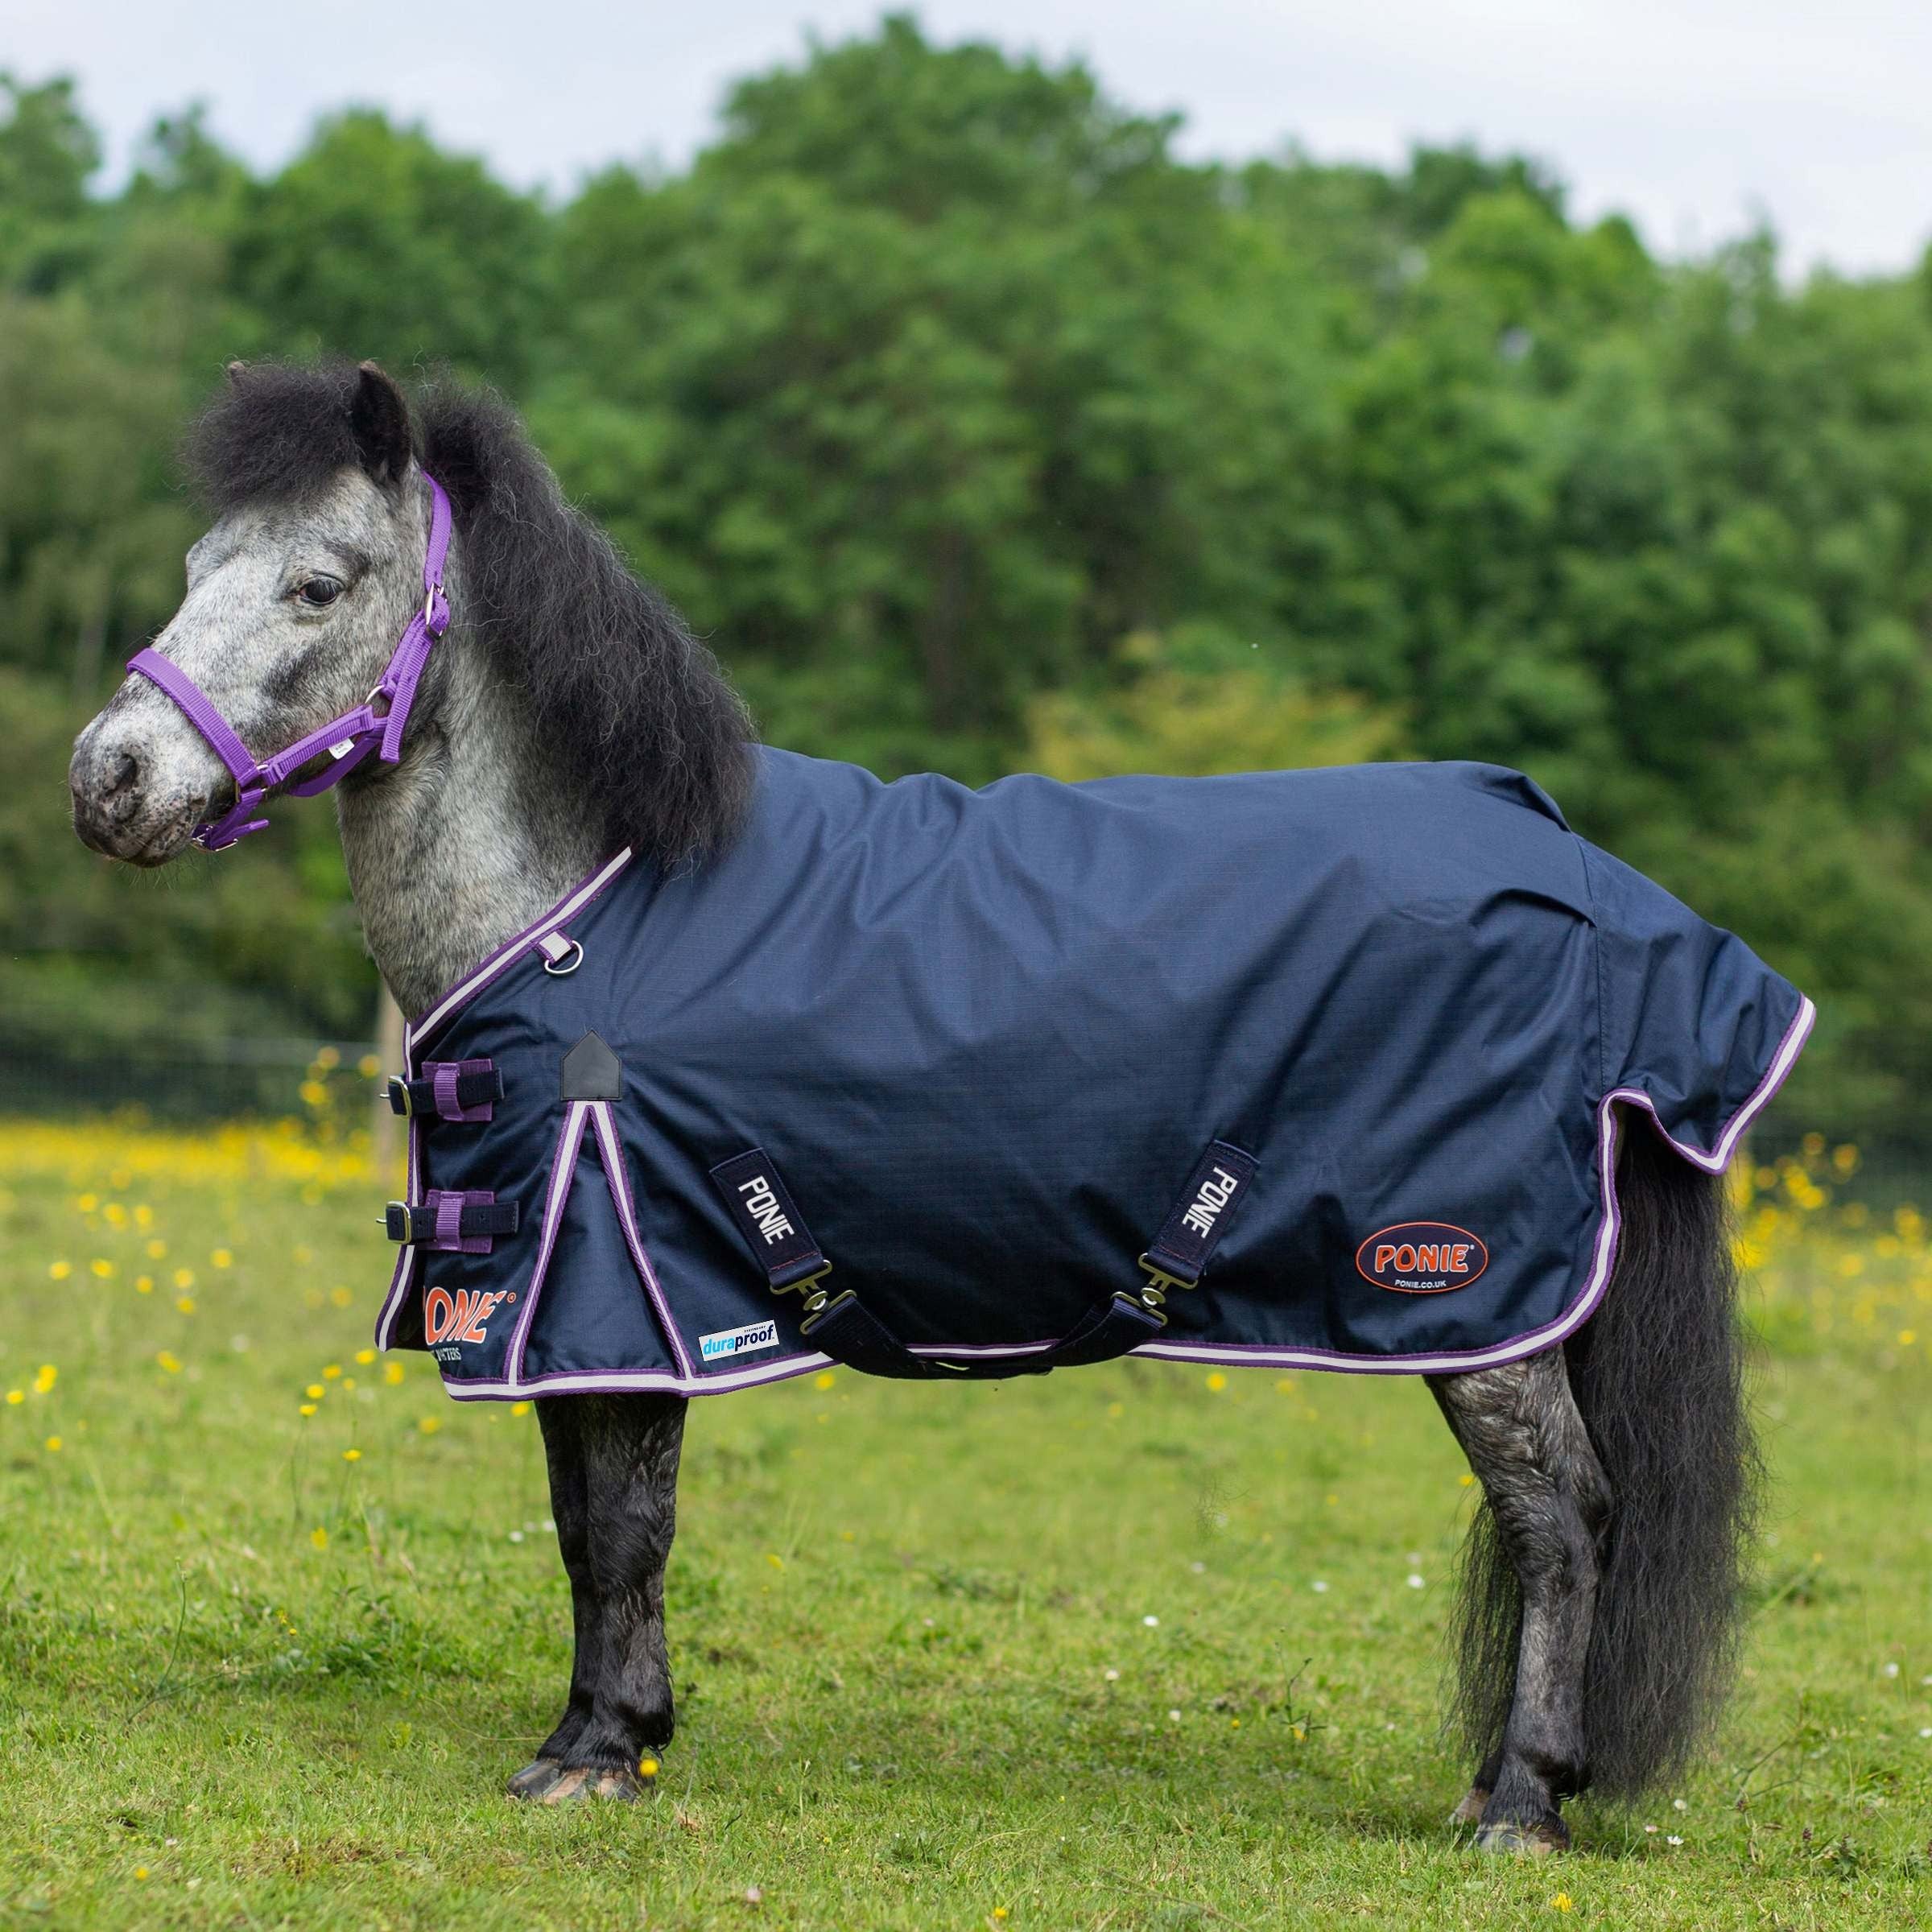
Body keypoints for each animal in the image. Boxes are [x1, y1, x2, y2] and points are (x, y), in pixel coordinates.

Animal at [68, 360, 1792, 1853]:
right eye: (197, 563)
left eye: (318, 585)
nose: (107, 779)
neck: (588, 906)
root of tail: (1583, 872)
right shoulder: (564, 1304)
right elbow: (577, 1525)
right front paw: (596, 1732)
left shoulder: (629, 1279)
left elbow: (625, 1526)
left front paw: (603, 1756)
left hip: (1469, 1296)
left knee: (1562, 1515)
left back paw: (1522, 1805)